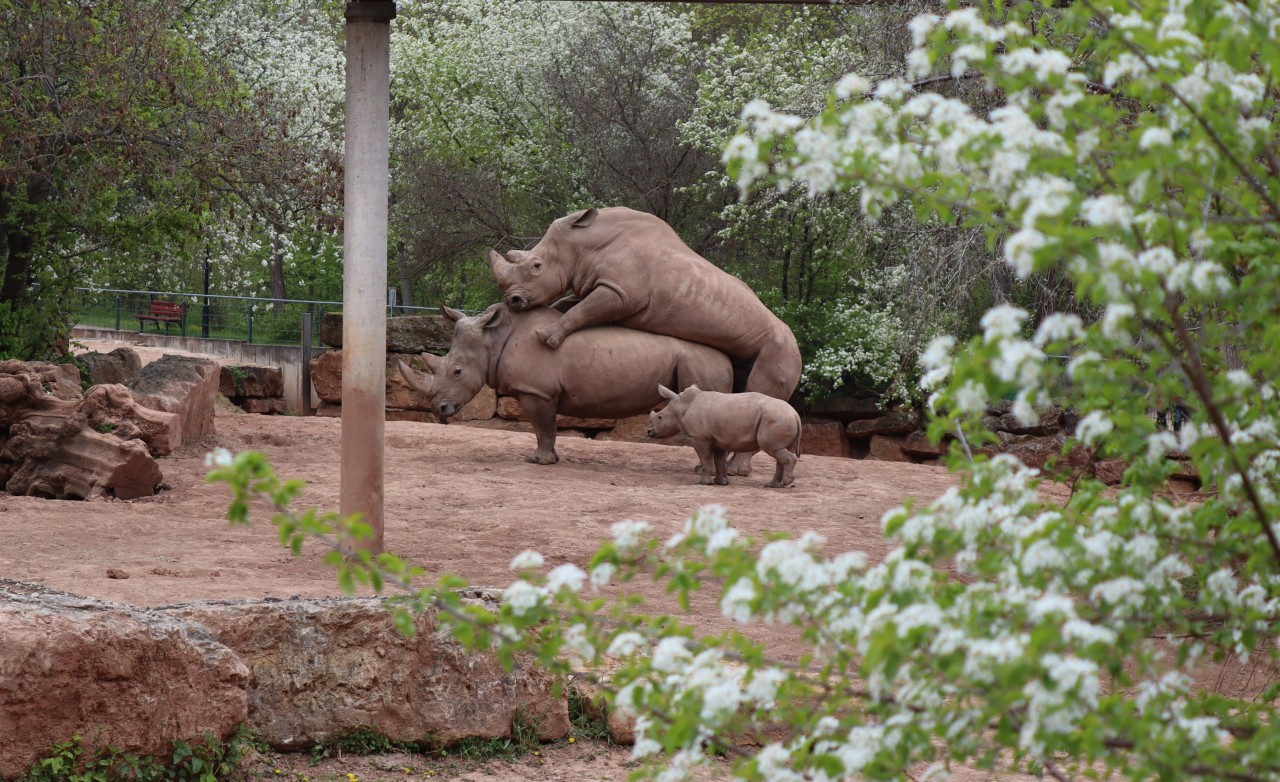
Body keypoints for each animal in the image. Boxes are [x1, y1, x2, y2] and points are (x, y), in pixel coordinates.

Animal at [399, 304, 732, 465]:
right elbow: (544, 428)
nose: (440, 410)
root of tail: (728, 357)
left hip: (700, 360)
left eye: (457, 372)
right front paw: (548, 459)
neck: (493, 339)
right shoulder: (541, 391)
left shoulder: (537, 391)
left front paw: (538, 461)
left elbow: (543, 426)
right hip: (701, 360)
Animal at [650, 381, 798, 486]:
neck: (682, 406)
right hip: (781, 418)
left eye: (660, 417)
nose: (649, 432)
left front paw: (703, 483)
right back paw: (773, 485)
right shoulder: (718, 438)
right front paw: (721, 483)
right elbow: (719, 461)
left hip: (777, 418)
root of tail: (795, 414)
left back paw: (784, 483)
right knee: (779, 452)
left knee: (774, 450)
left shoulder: (700, 437)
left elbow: (706, 459)